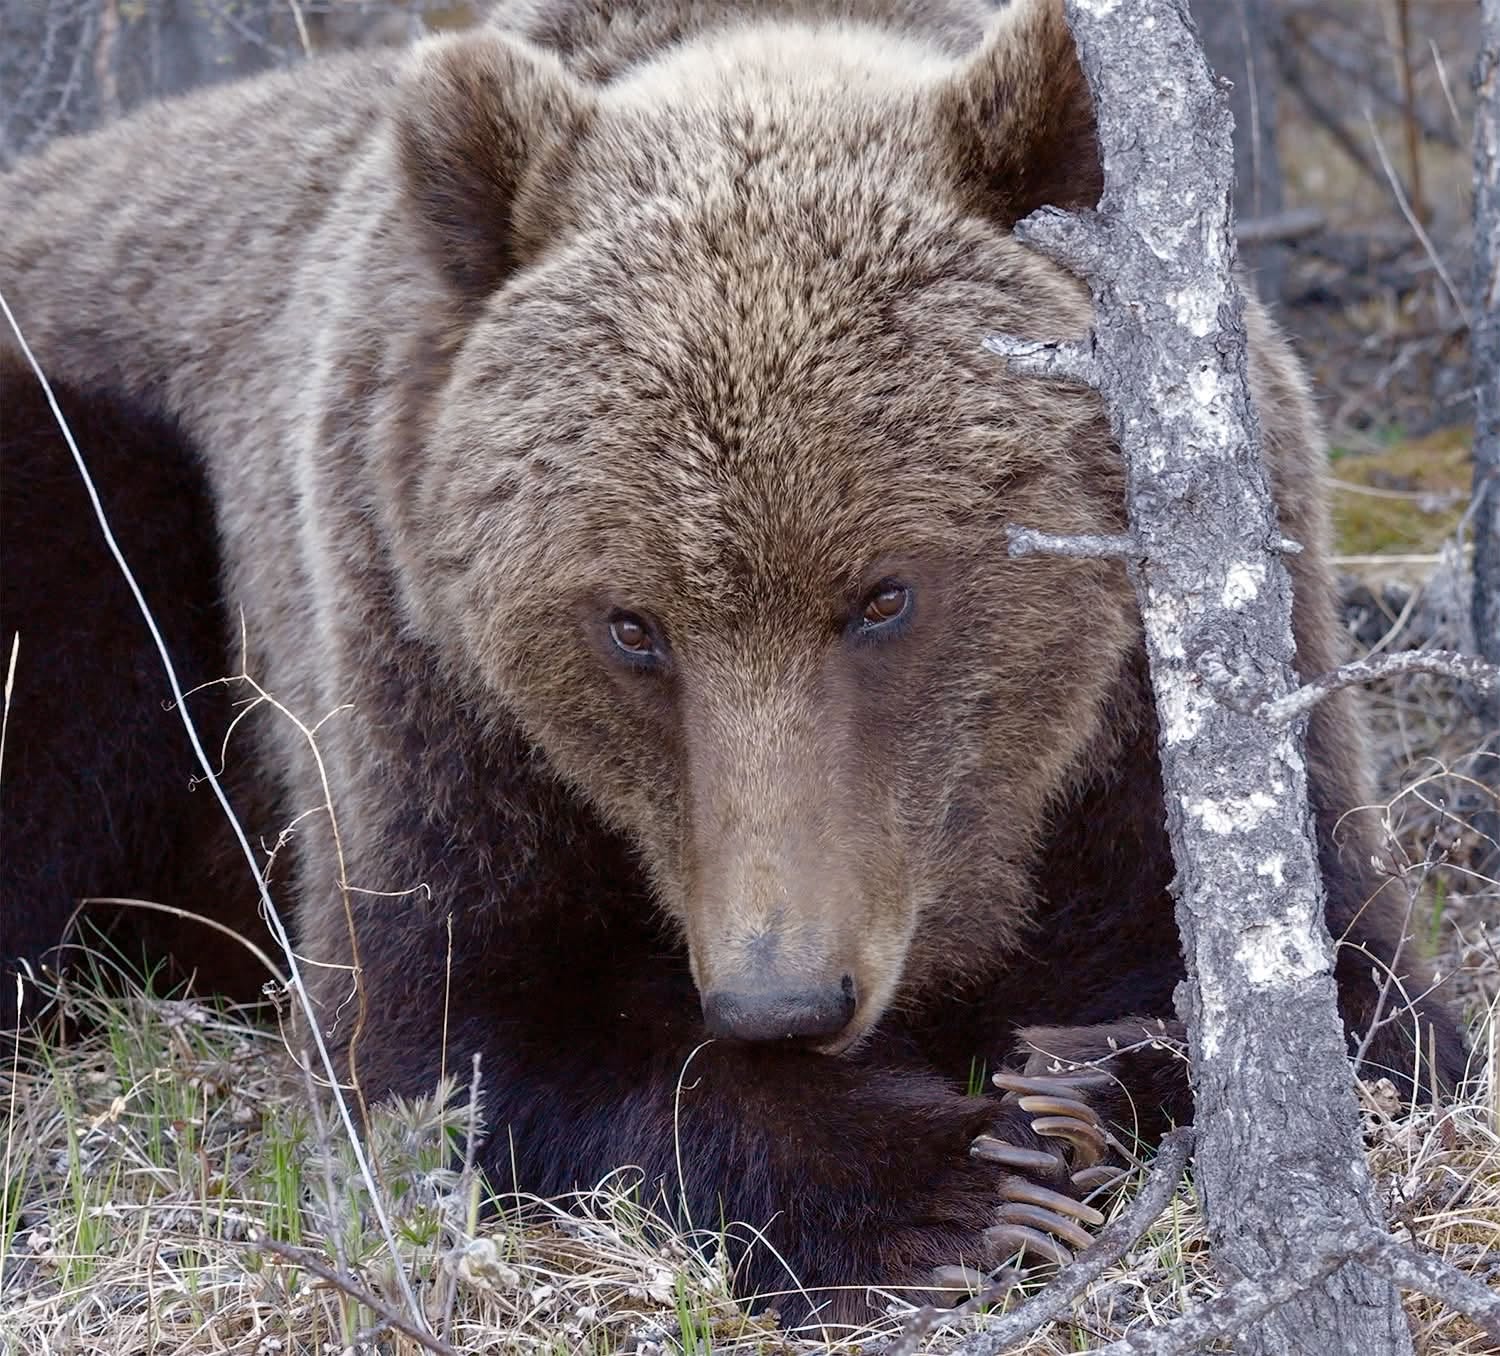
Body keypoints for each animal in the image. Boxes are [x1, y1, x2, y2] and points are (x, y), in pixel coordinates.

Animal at [0, 0, 1466, 1327]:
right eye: (630, 624)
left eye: (884, 595)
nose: (781, 993)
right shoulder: (428, 691)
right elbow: (454, 1042)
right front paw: (967, 1185)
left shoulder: (1158, 715)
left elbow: (1373, 1009)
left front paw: (1085, 1076)